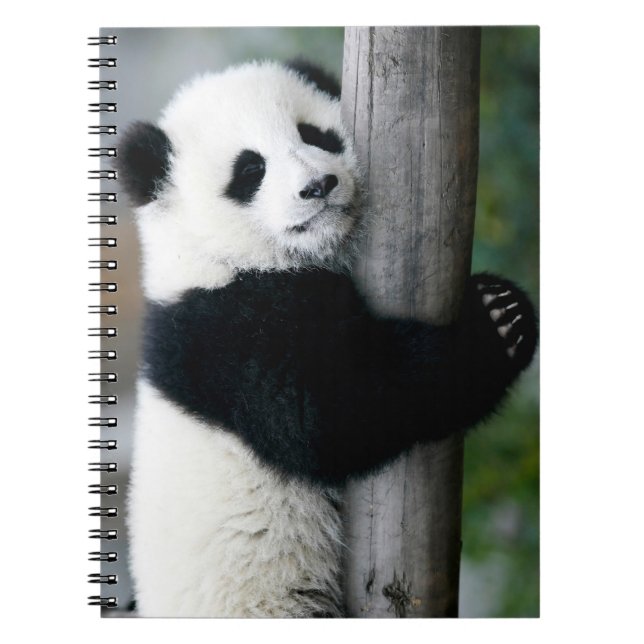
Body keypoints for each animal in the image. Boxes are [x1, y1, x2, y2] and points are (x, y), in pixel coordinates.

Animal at [118, 60, 537, 618]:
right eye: (250, 171)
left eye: (314, 135)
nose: (319, 185)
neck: (215, 257)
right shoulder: (221, 329)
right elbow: (333, 411)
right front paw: (498, 318)